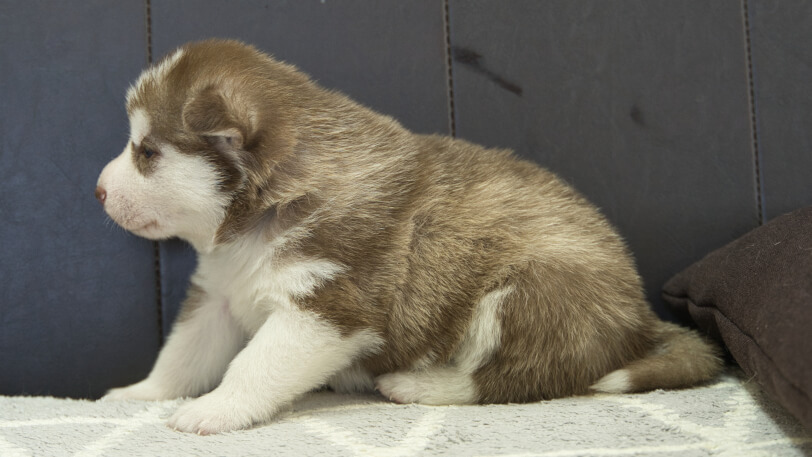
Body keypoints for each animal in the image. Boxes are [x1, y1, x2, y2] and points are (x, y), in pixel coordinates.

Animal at [96, 38, 724, 432]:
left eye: (146, 153)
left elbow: (253, 364)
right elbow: (181, 356)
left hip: (532, 292)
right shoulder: (218, 298)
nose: (99, 190)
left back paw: (423, 386)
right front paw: (139, 393)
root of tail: (641, 317)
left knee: (520, 379)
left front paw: (216, 410)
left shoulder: (325, 308)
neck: (258, 218)